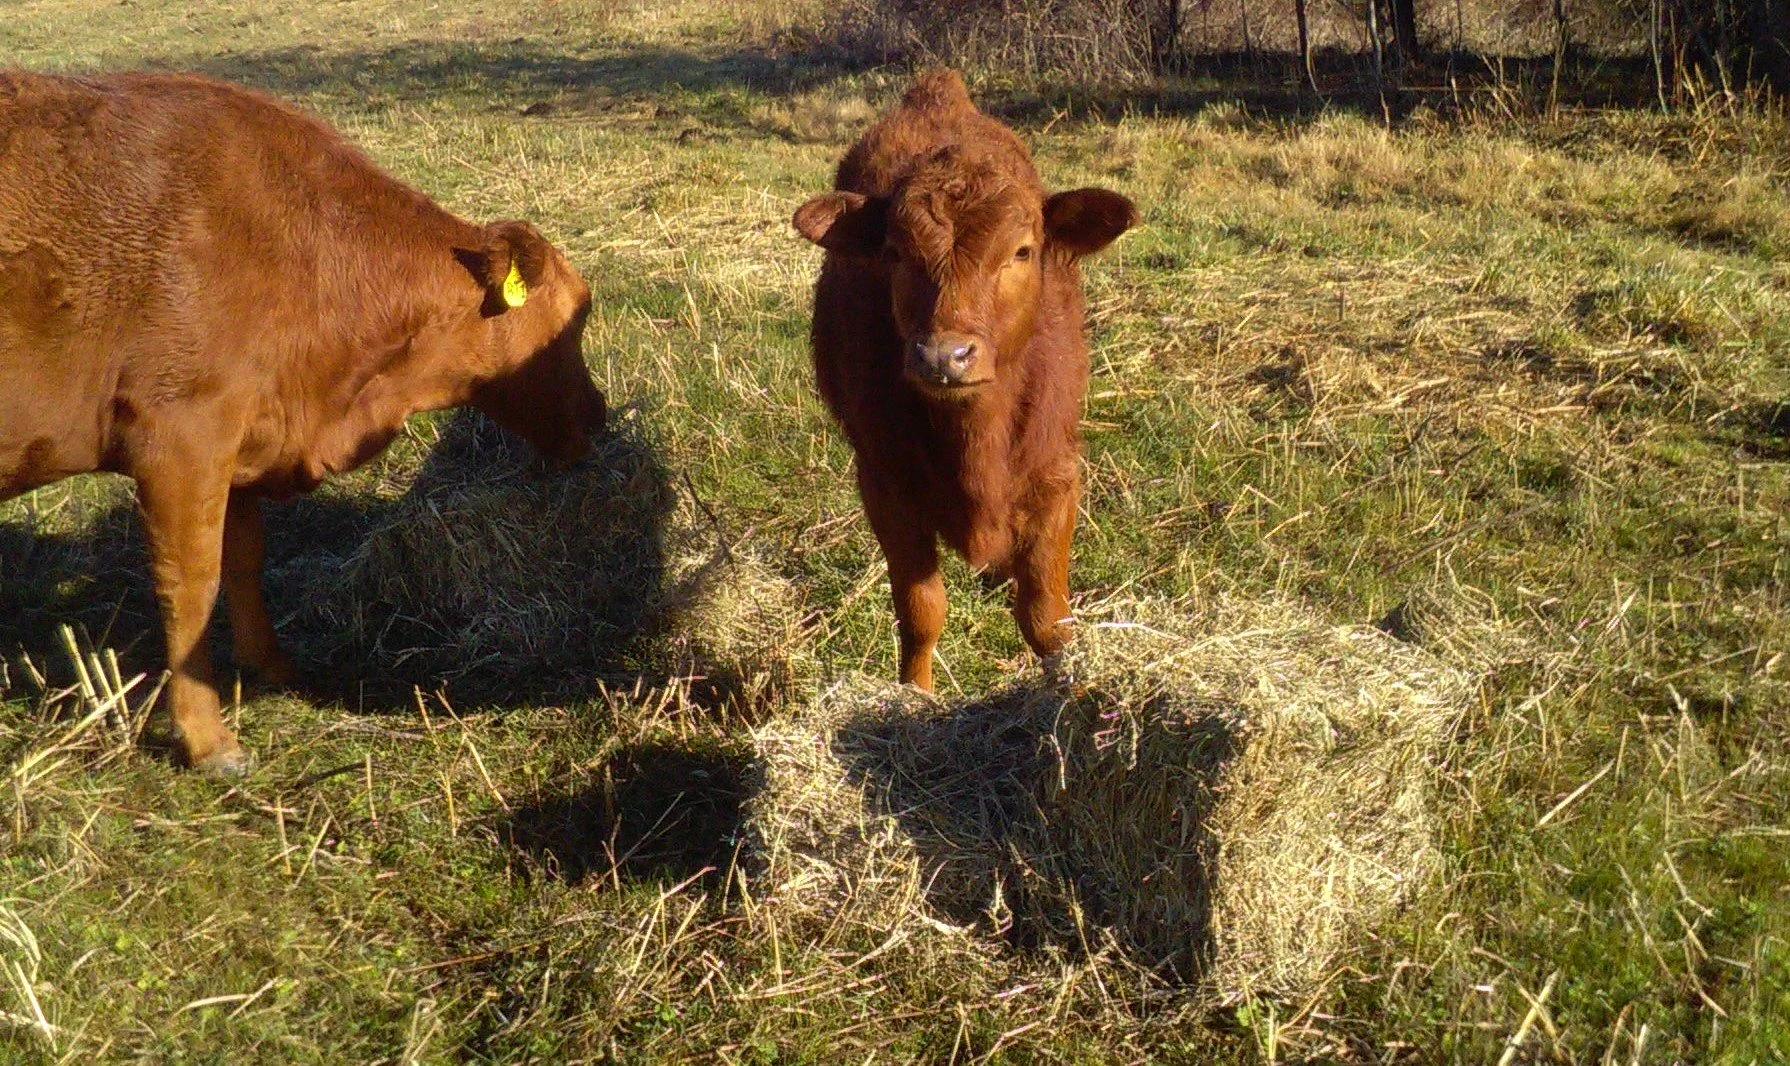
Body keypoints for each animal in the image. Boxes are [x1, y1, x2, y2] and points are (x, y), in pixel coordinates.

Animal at [0, 71, 606, 774]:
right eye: (578, 313)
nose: (599, 416)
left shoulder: (238, 443)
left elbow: (242, 560)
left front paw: (273, 666)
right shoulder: (181, 438)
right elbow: (191, 585)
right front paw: (209, 741)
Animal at [792, 71, 1136, 691]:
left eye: (1022, 251)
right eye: (894, 253)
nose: (944, 356)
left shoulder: (1056, 478)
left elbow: (1046, 617)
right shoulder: (884, 485)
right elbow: (921, 610)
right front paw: (915, 698)